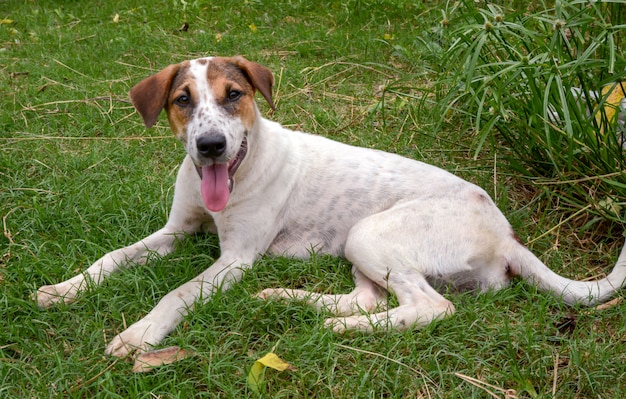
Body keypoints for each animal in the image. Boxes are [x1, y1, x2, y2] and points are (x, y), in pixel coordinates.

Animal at [36, 54, 624, 358]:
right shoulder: (177, 230)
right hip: (360, 243)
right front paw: (64, 290)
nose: (211, 146)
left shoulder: (235, 259)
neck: (243, 164)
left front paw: (141, 333)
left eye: (234, 95)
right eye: (183, 101)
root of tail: (506, 234)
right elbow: (111, 257)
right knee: (370, 297)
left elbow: (177, 293)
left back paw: (335, 328)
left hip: (373, 233)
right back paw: (288, 300)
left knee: (430, 307)